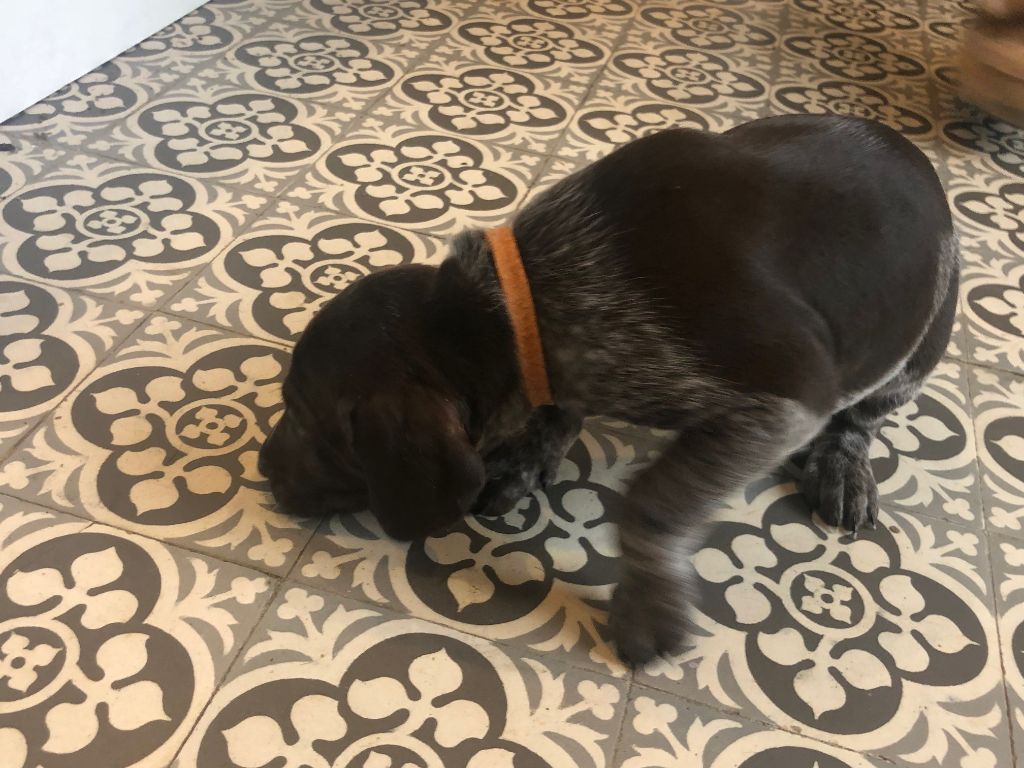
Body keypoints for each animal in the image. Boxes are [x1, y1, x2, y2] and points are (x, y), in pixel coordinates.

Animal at [259, 115, 959, 667]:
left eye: (306, 417)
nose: (262, 466)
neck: (519, 303)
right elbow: (556, 412)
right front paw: (527, 455)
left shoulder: (787, 398)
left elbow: (651, 501)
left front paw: (649, 609)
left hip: (921, 341)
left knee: (863, 418)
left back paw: (843, 466)